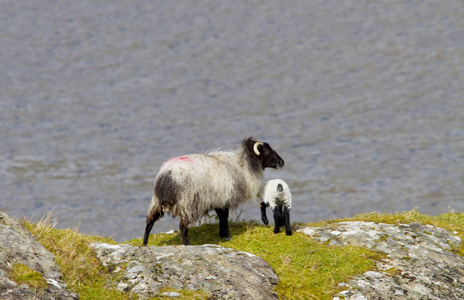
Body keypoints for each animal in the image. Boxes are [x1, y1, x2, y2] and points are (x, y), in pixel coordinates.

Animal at [143, 137, 284, 245]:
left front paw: (222, 234)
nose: (282, 162)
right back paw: (187, 244)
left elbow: (221, 217)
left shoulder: (218, 200)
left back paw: (144, 244)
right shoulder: (225, 197)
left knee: (149, 222)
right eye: (267, 152)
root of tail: (168, 175)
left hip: (157, 201)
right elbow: (224, 218)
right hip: (187, 203)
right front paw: (227, 236)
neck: (244, 165)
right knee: (182, 227)